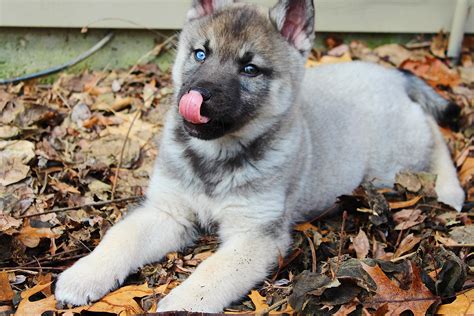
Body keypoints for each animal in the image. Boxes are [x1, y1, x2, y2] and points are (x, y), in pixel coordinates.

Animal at [54, 0, 462, 312]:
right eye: (200, 53)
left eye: (249, 68)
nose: (195, 97)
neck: (214, 158)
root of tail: (391, 75)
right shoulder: (168, 212)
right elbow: (121, 238)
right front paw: (85, 273)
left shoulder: (255, 235)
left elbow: (210, 274)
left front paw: (181, 304)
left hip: (393, 160)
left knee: (434, 134)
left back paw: (450, 187)